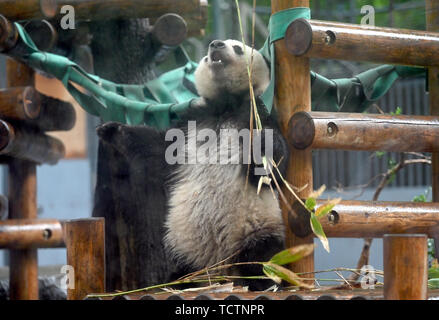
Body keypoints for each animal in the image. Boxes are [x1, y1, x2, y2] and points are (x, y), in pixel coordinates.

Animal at [99, 39, 292, 290]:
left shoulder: (254, 113)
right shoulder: (192, 122)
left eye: (237, 47)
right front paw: (112, 130)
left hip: (256, 228)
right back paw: (176, 282)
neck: (225, 106)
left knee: (263, 256)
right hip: (186, 246)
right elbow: (158, 149)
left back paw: (267, 280)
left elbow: (272, 171)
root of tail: (221, 270)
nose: (216, 44)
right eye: (208, 54)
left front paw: (263, 144)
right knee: (183, 267)